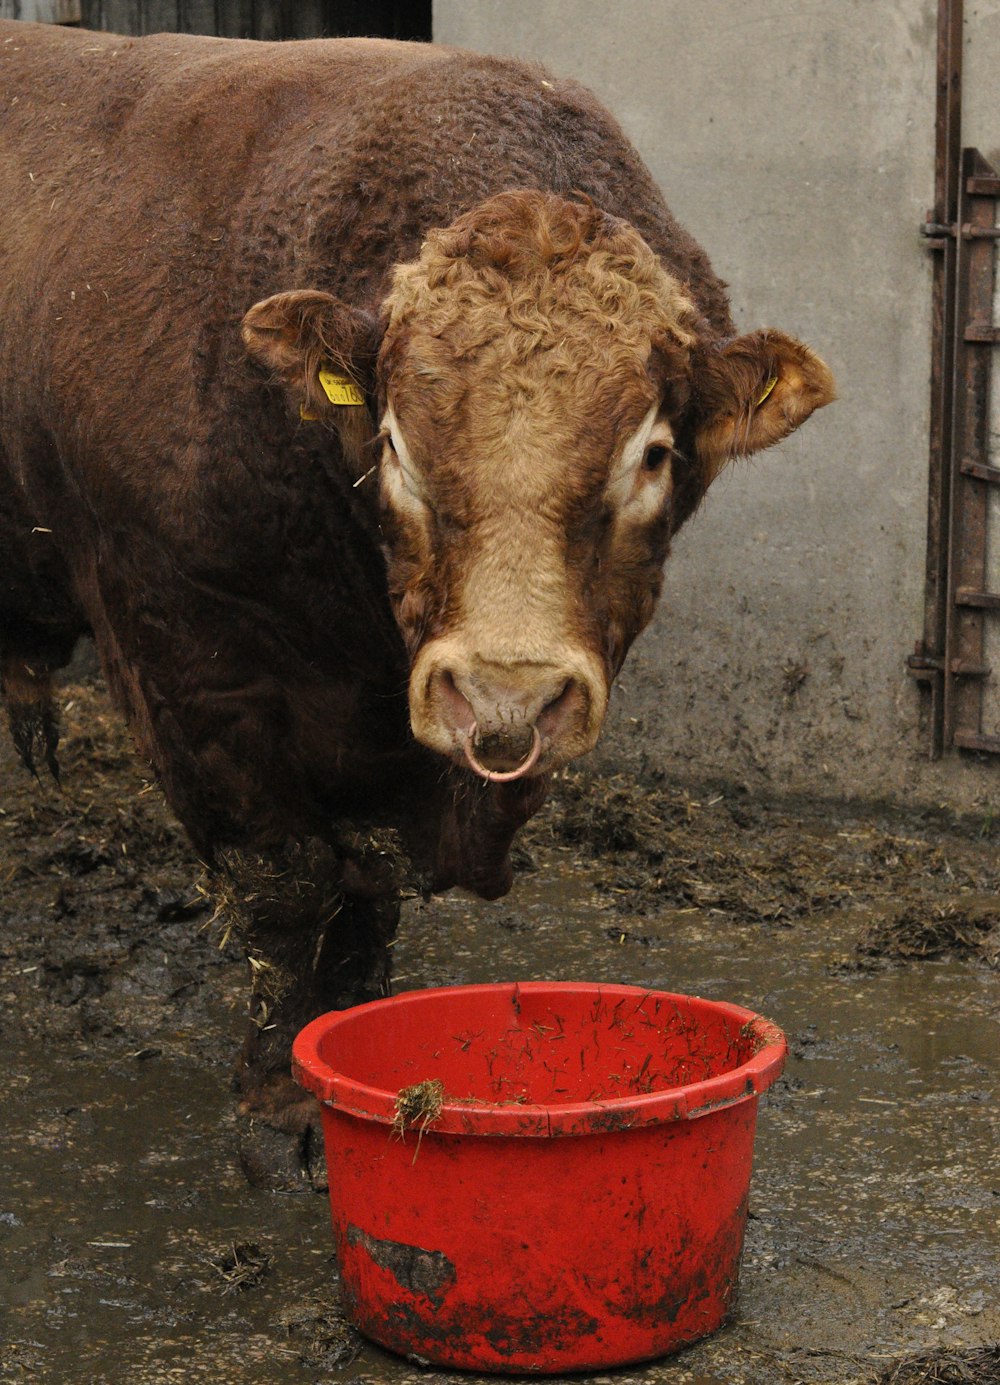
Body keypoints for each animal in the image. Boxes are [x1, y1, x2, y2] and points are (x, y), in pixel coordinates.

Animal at [0, 21, 825, 1185]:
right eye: (392, 441)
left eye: (654, 453)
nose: (506, 692)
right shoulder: (185, 659)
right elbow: (286, 879)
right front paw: (277, 1093)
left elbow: (369, 885)